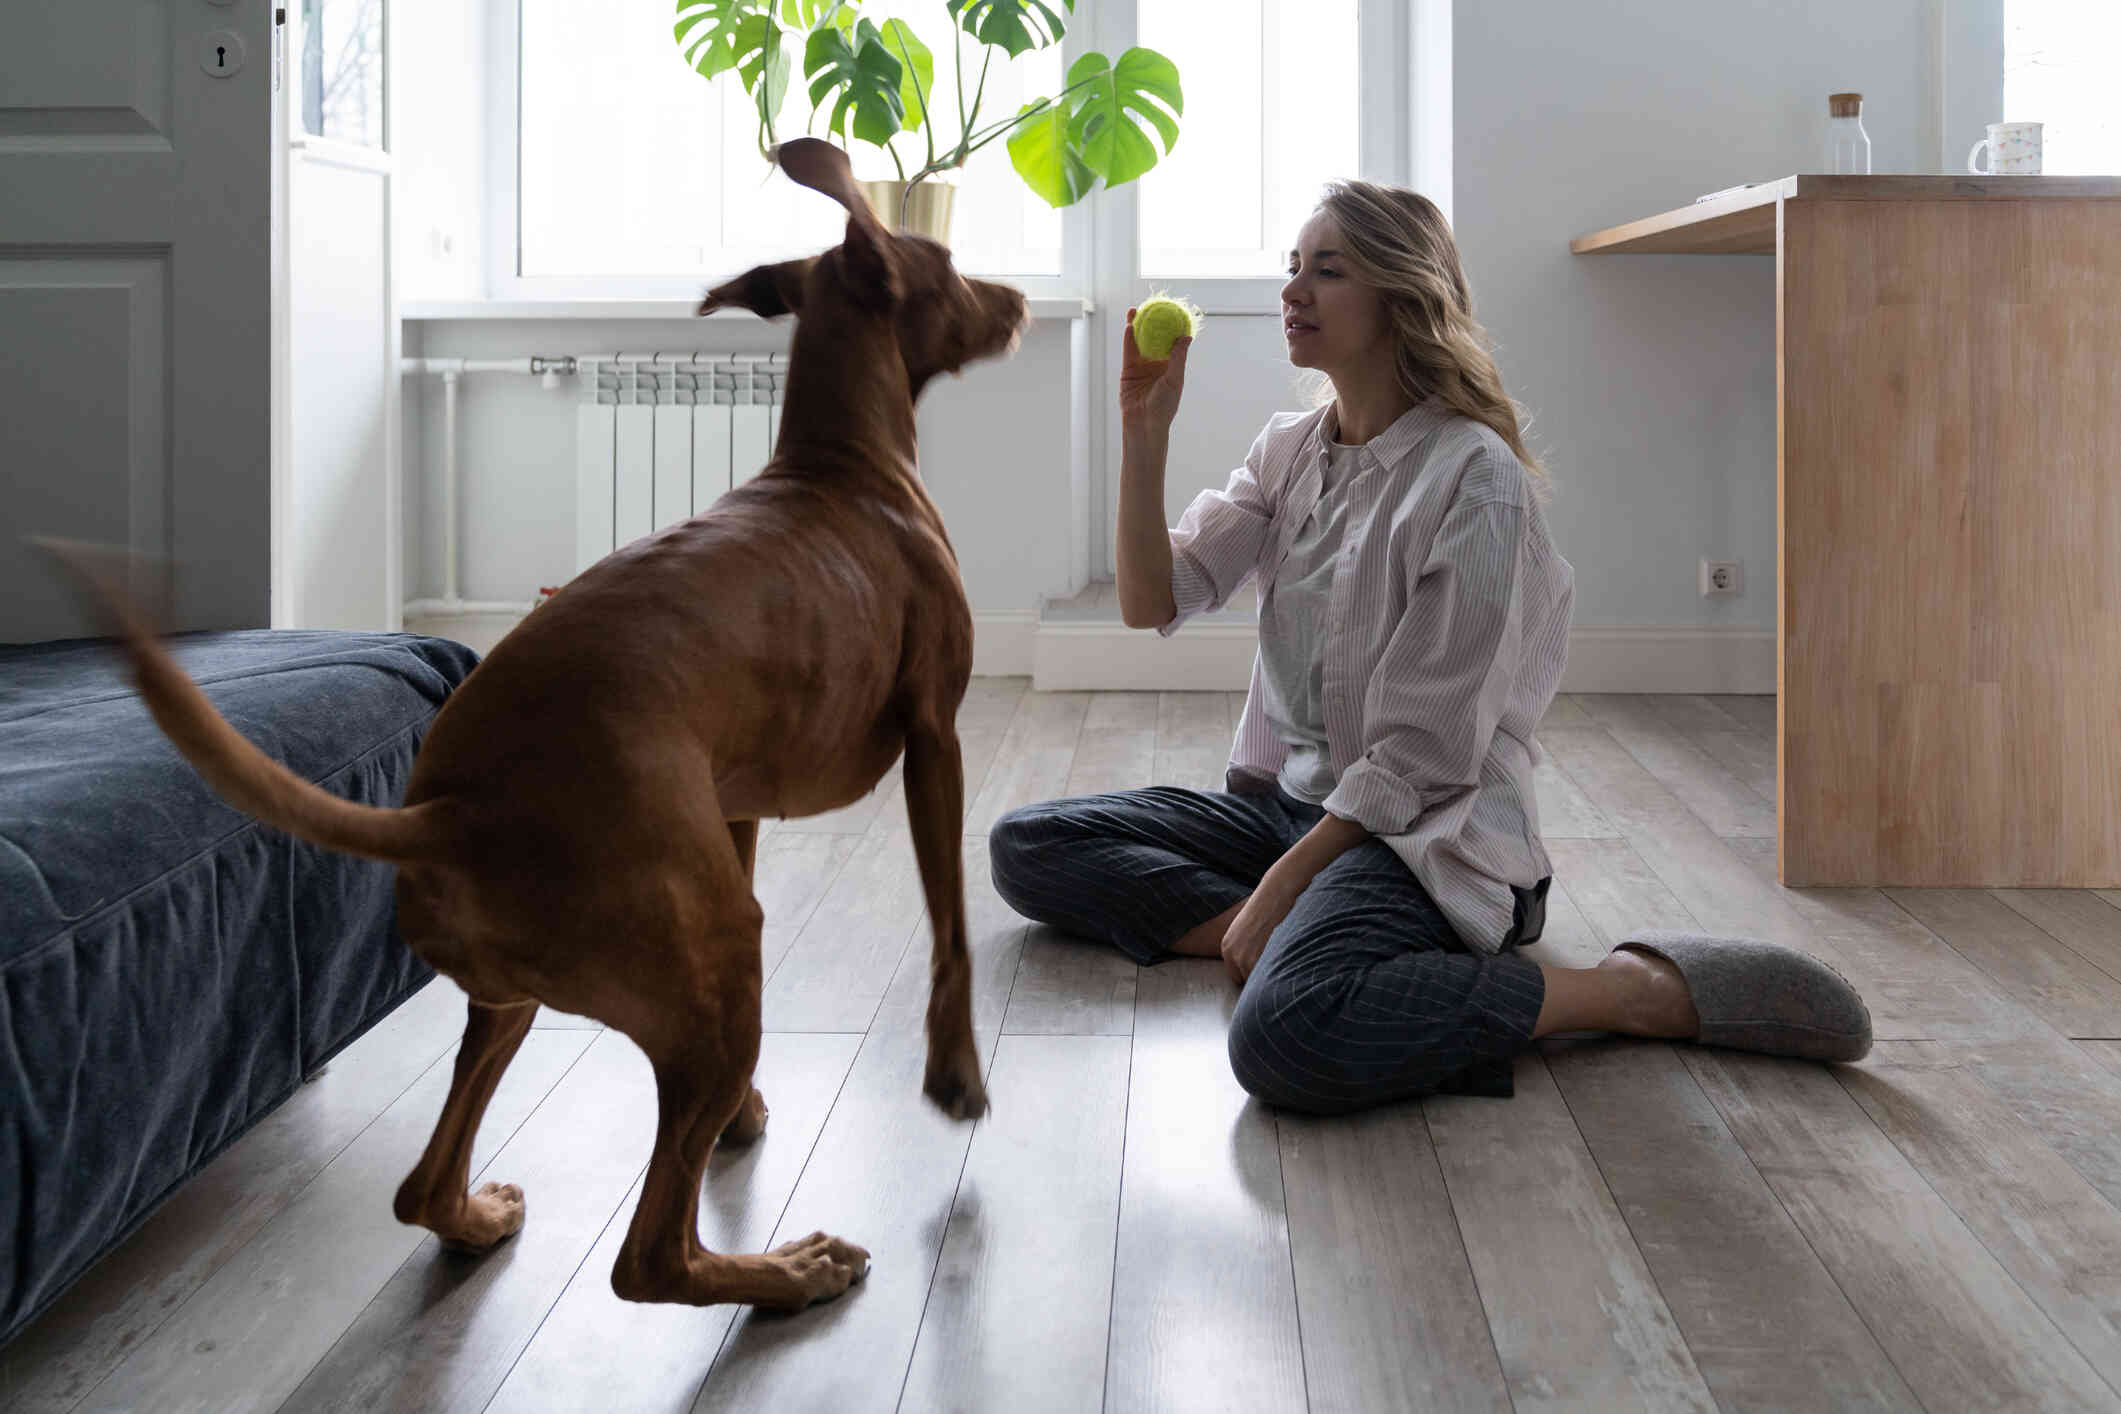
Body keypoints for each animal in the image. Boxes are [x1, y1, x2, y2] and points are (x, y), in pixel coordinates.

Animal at [33, 137, 1026, 1314]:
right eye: (953, 269)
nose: (1019, 299)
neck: (840, 462)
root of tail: (447, 811)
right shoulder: (935, 739)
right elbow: (951, 926)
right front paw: (956, 1073)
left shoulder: (731, 806)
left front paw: (746, 1117)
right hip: (716, 951)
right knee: (650, 1258)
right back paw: (789, 1269)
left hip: (535, 987)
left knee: (426, 1186)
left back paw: (480, 1215)